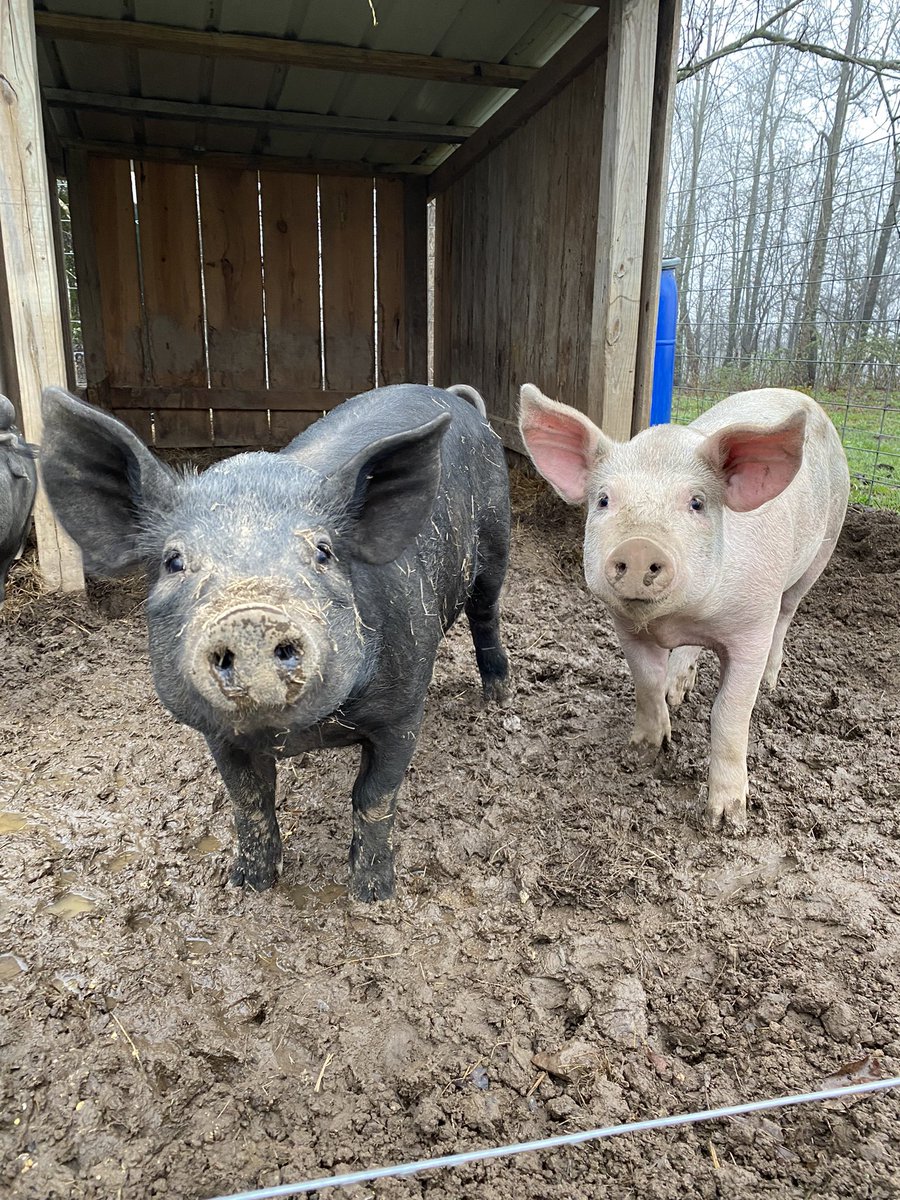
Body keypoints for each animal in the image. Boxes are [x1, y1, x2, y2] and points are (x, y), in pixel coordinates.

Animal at [40, 383, 510, 900]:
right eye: (173, 560)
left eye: (323, 551)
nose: (251, 617)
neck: (303, 734)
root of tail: (457, 400)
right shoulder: (216, 733)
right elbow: (249, 799)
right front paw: (247, 884)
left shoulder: (404, 709)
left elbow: (374, 796)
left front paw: (372, 895)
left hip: (496, 539)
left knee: (486, 614)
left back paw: (498, 697)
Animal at [519, 384, 849, 830]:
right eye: (604, 500)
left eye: (696, 503)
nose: (640, 546)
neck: (679, 616)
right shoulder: (626, 626)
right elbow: (646, 683)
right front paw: (640, 753)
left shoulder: (752, 627)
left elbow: (729, 712)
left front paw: (727, 819)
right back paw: (679, 691)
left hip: (821, 550)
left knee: (787, 613)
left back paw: (769, 684)